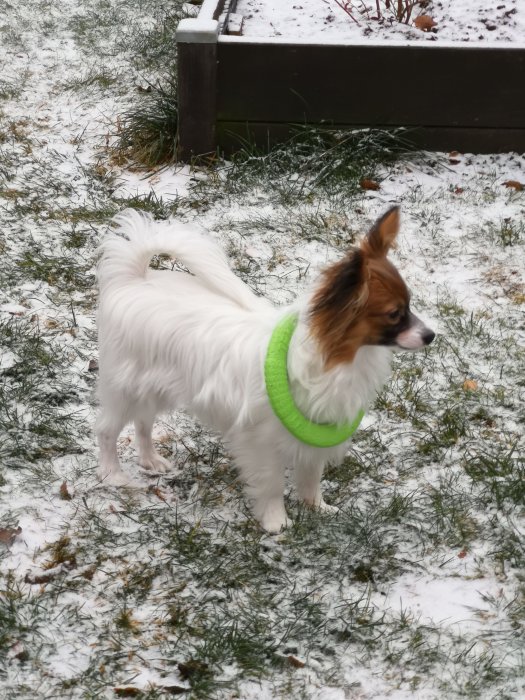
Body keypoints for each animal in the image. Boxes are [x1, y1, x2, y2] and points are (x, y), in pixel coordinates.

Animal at [96, 206, 432, 532]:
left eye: (410, 306)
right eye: (394, 314)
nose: (431, 335)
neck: (338, 358)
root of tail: (134, 279)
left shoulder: (315, 431)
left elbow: (311, 476)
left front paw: (316, 508)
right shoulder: (263, 444)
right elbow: (271, 486)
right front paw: (276, 523)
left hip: (153, 389)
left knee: (143, 422)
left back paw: (150, 460)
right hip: (125, 389)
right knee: (107, 430)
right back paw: (113, 475)